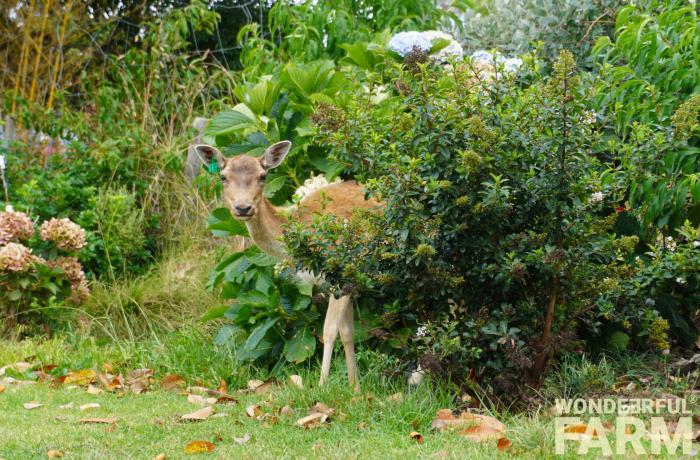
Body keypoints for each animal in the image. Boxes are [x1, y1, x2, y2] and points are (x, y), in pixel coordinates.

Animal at [196, 141, 383, 391]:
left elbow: (330, 330)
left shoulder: (342, 270)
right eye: (223, 176)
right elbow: (348, 331)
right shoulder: (347, 282)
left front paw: (322, 386)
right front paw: (355, 388)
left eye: (263, 175)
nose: (243, 207)